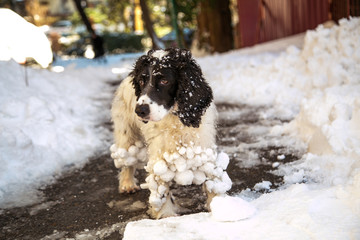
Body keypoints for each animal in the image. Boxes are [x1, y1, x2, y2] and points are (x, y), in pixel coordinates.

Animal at [109, 47, 231, 218]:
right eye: (142, 81)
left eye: (164, 81)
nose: (140, 110)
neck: (175, 118)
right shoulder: (160, 155)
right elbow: (161, 189)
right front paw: (166, 216)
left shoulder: (203, 146)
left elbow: (212, 180)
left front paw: (222, 208)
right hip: (126, 133)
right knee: (127, 160)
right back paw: (127, 183)